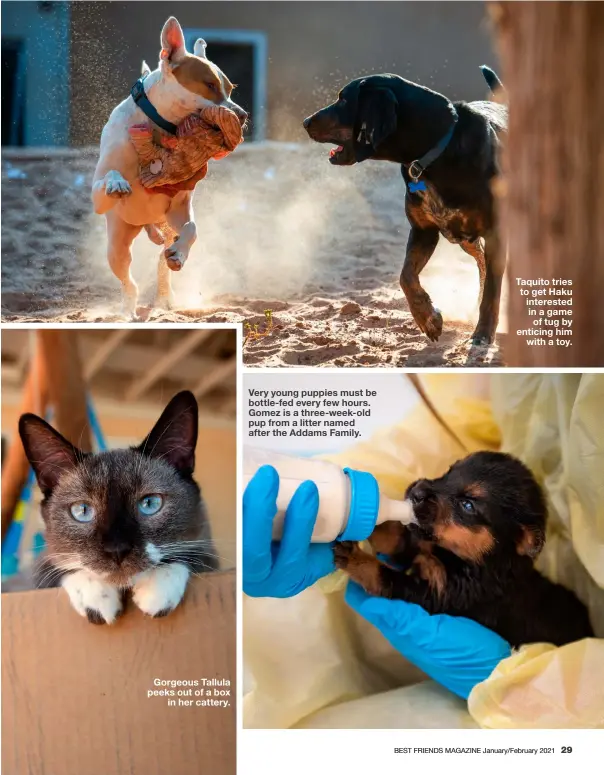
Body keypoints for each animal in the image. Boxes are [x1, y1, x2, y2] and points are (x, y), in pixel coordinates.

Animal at [18, 394, 217, 624]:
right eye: (82, 511)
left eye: (150, 504)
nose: (117, 549)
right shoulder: (35, 571)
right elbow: (52, 569)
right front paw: (97, 597)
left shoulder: (210, 553)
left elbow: (193, 555)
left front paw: (157, 587)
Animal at [92, 16, 248, 318]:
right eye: (209, 84)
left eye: (230, 88)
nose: (243, 115)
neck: (157, 125)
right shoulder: (96, 195)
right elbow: (109, 177)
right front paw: (117, 182)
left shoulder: (178, 207)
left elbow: (192, 228)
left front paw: (180, 253)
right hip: (117, 244)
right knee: (128, 282)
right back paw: (128, 312)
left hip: (161, 232)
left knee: (161, 265)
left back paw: (166, 297)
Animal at [304, 66, 508, 346]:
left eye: (344, 99)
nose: (305, 122)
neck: (436, 152)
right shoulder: (424, 232)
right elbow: (406, 276)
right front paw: (427, 316)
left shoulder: (496, 233)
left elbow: (492, 293)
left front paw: (484, 332)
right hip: (467, 240)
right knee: (480, 265)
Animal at [336, 452, 596, 644]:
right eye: (448, 472)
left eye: (468, 505)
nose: (417, 491)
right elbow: (401, 540)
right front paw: (371, 520)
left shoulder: (440, 595)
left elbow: (387, 576)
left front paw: (354, 557)